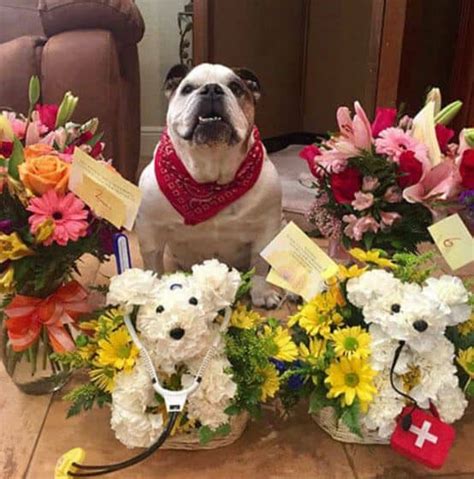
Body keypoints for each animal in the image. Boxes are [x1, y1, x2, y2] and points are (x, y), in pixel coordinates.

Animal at [104, 260, 241, 448]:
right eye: (159, 309)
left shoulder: (204, 353)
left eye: (193, 301)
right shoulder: (151, 357)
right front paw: (134, 429)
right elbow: (135, 387)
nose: (177, 331)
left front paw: (215, 414)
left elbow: (212, 379)